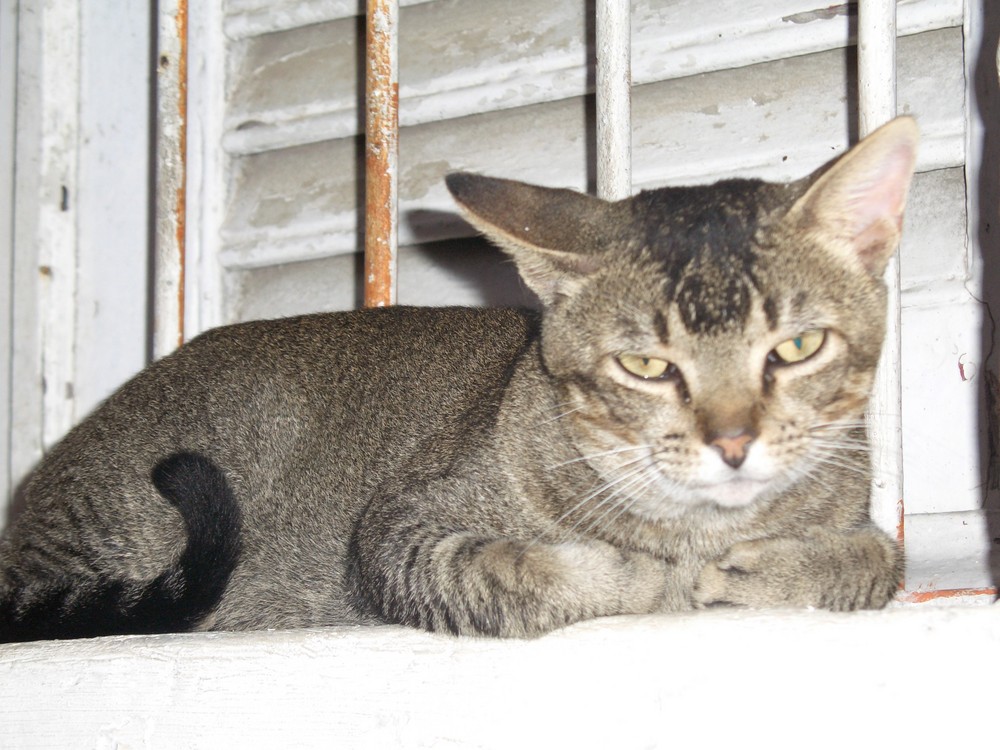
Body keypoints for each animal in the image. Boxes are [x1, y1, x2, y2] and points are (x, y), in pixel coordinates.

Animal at [0, 119, 916, 648]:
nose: (732, 442)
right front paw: (641, 576)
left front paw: (771, 568)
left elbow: (878, 559)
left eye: (798, 346)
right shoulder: (393, 534)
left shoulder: (862, 514)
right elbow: (507, 576)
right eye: (646, 365)